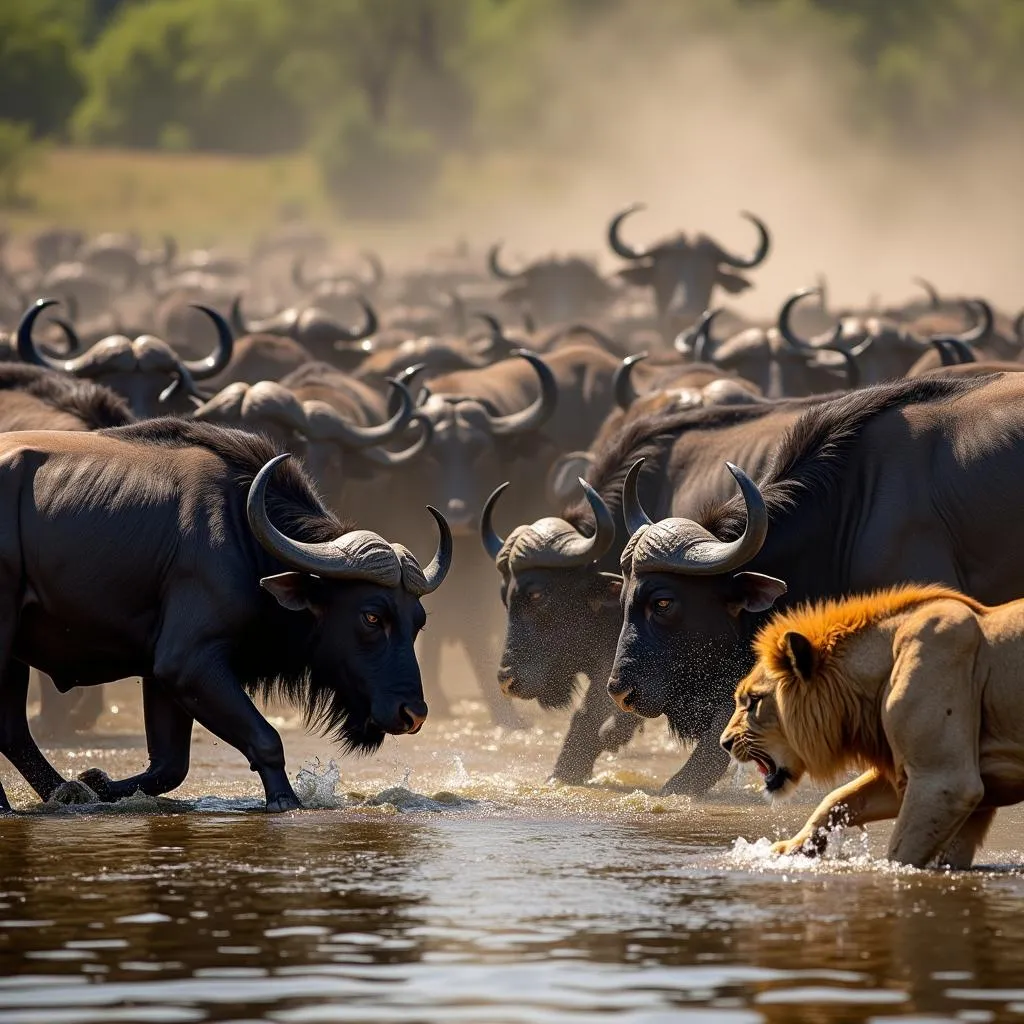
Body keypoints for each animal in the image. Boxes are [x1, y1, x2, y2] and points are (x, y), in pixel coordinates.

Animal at [720, 585, 1024, 864]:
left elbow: (900, 855)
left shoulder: (945, 780)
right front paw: (790, 849)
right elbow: (839, 798)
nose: (725, 742)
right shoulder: (914, 777)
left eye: (753, 701)